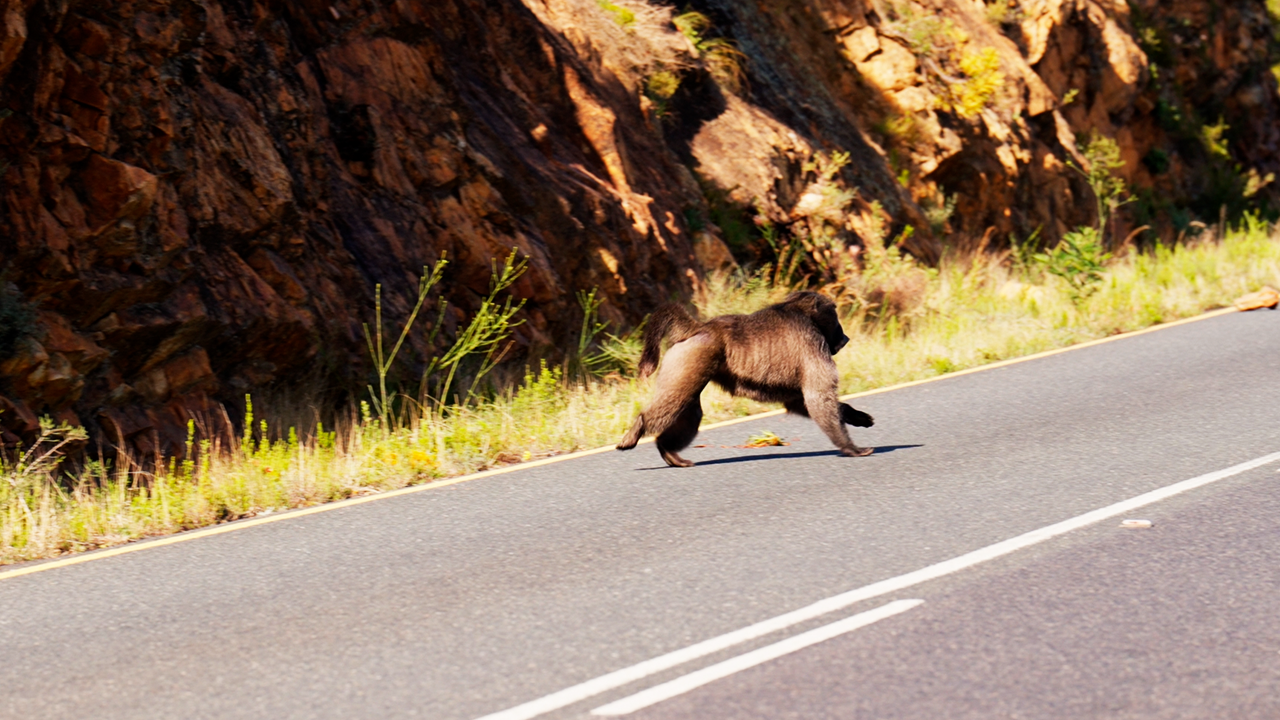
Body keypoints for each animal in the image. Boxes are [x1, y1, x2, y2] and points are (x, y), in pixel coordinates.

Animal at [616, 291, 875, 467]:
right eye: (835, 316)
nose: (845, 338)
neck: (798, 310)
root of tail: (699, 327)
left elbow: (800, 401)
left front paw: (858, 417)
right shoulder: (812, 340)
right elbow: (817, 396)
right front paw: (852, 448)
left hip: (689, 364)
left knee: (688, 412)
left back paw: (668, 452)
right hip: (691, 361)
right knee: (672, 404)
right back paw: (635, 432)